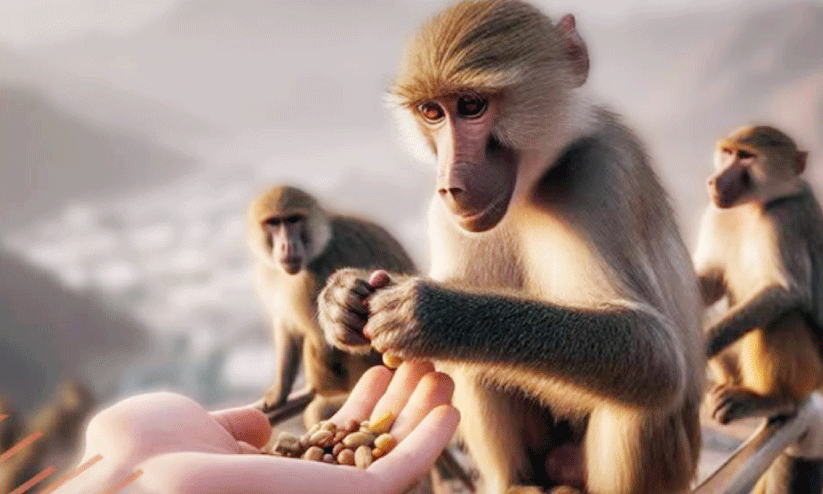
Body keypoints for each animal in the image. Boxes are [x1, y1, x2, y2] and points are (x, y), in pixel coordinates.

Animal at [248, 185, 416, 428]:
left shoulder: (310, 281)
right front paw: (278, 394)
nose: (287, 246)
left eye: (293, 219)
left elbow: (322, 341)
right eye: (273, 223)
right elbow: (287, 329)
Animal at [317, 2, 705, 493]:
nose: (451, 186)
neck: (532, 187)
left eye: (471, 106)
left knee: (643, 394)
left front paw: (432, 313)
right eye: (432, 112)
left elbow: (658, 355)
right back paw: (516, 482)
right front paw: (342, 299)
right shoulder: (446, 217)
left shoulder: (603, 173)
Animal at [693, 125, 823, 494]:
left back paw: (775, 399)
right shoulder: (718, 214)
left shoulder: (787, 220)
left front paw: (701, 345)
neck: (754, 206)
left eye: (746, 156)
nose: (714, 181)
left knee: (780, 319)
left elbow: (785, 294)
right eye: (728, 152)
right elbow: (709, 282)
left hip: (814, 370)